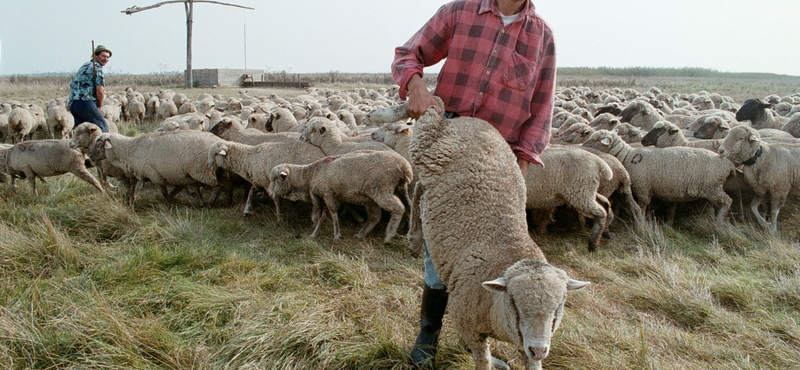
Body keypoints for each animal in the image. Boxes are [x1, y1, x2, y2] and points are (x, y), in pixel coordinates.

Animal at [268, 150, 412, 243]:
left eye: (276, 179)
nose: (269, 193)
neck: (309, 176)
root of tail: (404, 166)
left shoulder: (326, 193)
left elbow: (331, 213)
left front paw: (336, 234)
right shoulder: (328, 195)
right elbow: (323, 216)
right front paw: (315, 234)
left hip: (381, 188)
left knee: (398, 208)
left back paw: (389, 234)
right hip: (392, 191)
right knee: (386, 213)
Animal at [580, 129, 736, 224]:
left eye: (595, 139)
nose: (581, 146)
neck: (628, 156)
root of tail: (728, 164)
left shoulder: (643, 188)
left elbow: (642, 207)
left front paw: (641, 222)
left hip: (712, 187)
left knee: (727, 201)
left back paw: (720, 220)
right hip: (712, 189)